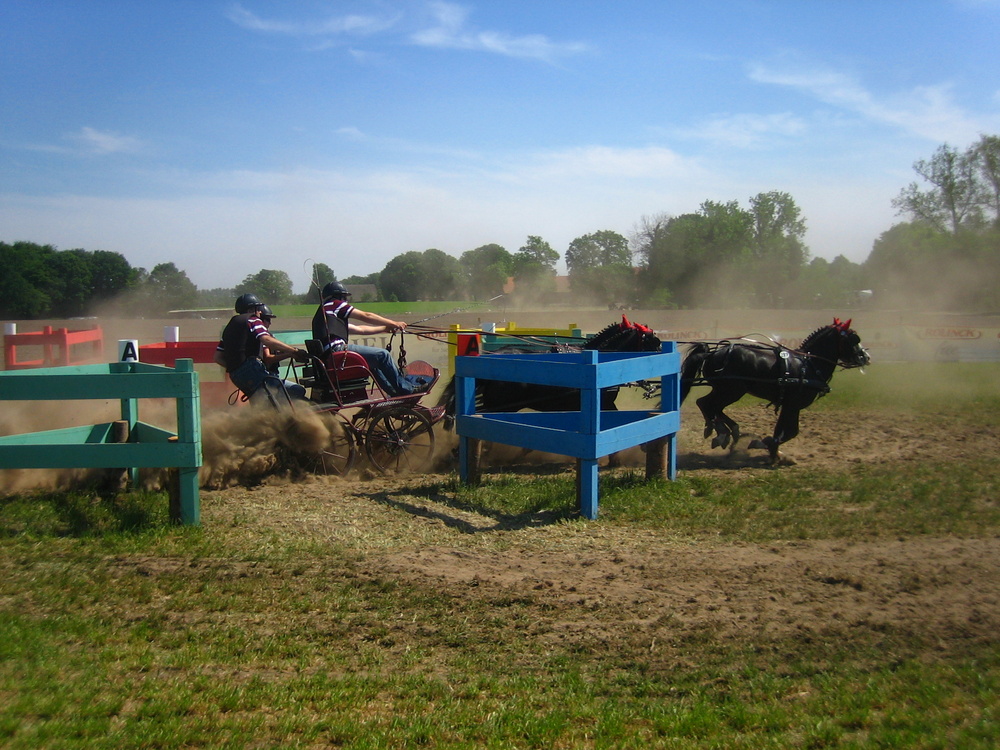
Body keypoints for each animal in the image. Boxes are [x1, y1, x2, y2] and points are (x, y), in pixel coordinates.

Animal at [680, 318, 868, 464]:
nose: (866, 357)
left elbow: (783, 430)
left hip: (727, 390)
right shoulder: (793, 405)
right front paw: (766, 446)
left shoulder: (788, 405)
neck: (808, 365)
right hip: (731, 390)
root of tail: (713, 353)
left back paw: (727, 430)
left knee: (713, 407)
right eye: (854, 338)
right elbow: (790, 431)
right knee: (706, 404)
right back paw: (722, 433)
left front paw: (775, 453)